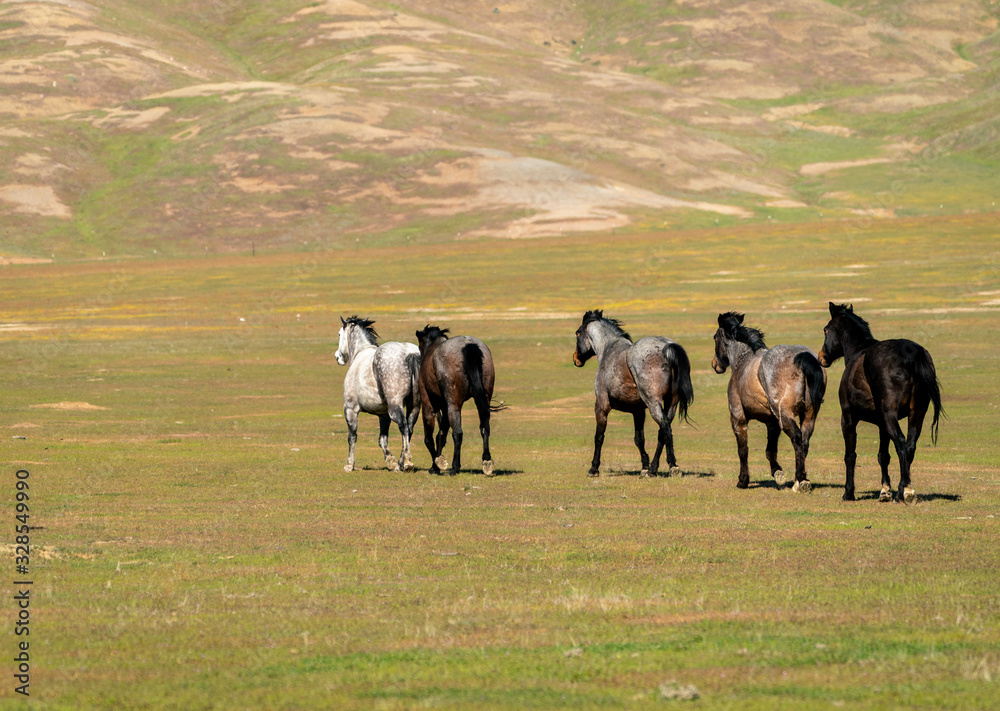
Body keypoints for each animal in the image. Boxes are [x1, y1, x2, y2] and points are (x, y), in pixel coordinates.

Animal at [335, 316, 421, 473]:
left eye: (339, 334)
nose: (338, 357)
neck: (360, 353)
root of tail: (409, 353)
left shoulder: (350, 409)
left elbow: (352, 437)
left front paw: (349, 464)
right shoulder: (383, 415)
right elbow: (382, 440)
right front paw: (390, 460)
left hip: (395, 406)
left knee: (404, 426)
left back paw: (406, 462)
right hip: (415, 406)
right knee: (409, 428)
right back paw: (400, 463)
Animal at [415, 326, 503, 476]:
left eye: (420, 345)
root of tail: (469, 346)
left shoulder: (429, 404)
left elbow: (429, 439)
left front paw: (437, 465)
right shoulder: (445, 408)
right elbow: (441, 436)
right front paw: (438, 463)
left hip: (453, 405)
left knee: (458, 433)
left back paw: (455, 467)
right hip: (482, 400)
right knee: (484, 428)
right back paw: (486, 461)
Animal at [573, 310, 693, 477]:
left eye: (578, 333)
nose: (576, 359)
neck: (609, 349)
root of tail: (667, 347)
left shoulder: (601, 407)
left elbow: (599, 437)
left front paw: (593, 468)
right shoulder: (638, 411)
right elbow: (639, 439)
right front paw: (644, 466)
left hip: (653, 403)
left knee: (665, 428)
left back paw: (672, 466)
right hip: (671, 403)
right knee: (663, 432)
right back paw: (653, 468)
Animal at [712, 312, 826, 492]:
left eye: (715, 337)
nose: (715, 364)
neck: (743, 361)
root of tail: (804, 357)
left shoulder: (738, 418)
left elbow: (743, 450)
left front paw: (743, 480)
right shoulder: (772, 423)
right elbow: (770, 450)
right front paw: (777, 473)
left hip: (785, 415)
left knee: (797, 438)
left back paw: (800, 480)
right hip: (809, 415)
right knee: (804, 441)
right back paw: (799, 480)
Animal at [818, 302, 943, 503]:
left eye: (825, 329)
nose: (821, 357)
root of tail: (911, 354)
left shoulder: (848, 418)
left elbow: (850, 455)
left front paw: (848, 492)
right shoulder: (881, 424)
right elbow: (883, 456)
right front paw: (885, 490)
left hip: (890, 417)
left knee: (901, 445)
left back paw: (903, 491)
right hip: (917, 414)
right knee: (910, 447)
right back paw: (906, 488)